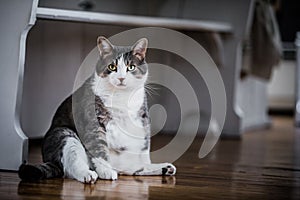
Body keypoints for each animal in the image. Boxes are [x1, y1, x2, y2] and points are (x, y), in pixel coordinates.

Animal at [18, 36, 176, 184]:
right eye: (112, 66)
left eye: (131, 67)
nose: (121, 78)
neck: (120, 96)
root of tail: (49, 160)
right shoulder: (94, 122)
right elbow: (99, 147)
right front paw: (106, 170)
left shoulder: (142, 118)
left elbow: (144, 148)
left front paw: (147, 165)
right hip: (63, 134)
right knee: (70, 167)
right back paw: (88, 174)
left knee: (128, 168)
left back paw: (164, 168)